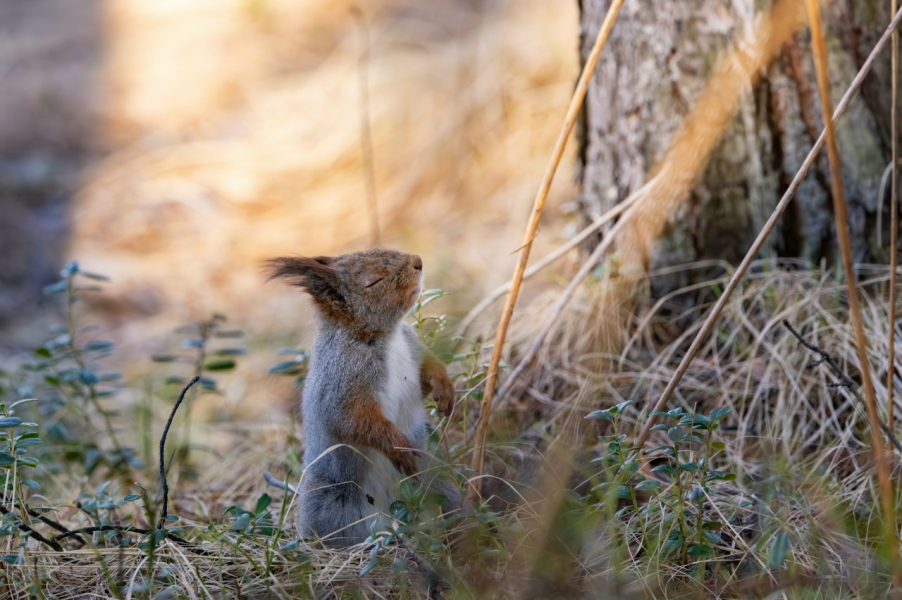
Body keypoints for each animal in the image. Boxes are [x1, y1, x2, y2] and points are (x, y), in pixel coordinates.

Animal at [266, 248, 458, 545]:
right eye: (373, 281)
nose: (418, 262)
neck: (384, 337)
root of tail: (390, 519)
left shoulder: (413, 349)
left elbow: (429, 371)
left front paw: (445, 388)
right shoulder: (341, 383)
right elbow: (355, 421)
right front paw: (399, 448)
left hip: (435, 483)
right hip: (332, 507)